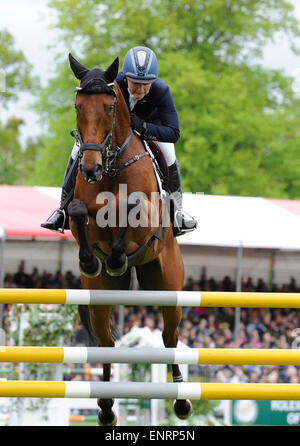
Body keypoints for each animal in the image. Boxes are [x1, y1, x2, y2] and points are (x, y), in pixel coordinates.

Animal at [67, 54, 192, 426]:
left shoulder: (145, 221)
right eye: (78, 106)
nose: (90, 168)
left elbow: (131, 205)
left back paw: (181, 401)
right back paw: (107, 407)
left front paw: (116, 255)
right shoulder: (85, 213)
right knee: (106, 343)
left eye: (110, 106)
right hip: (101, 298)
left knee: (168, 338)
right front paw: (91, 260)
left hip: (168, 288)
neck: (112, 166)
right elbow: (78, 211)